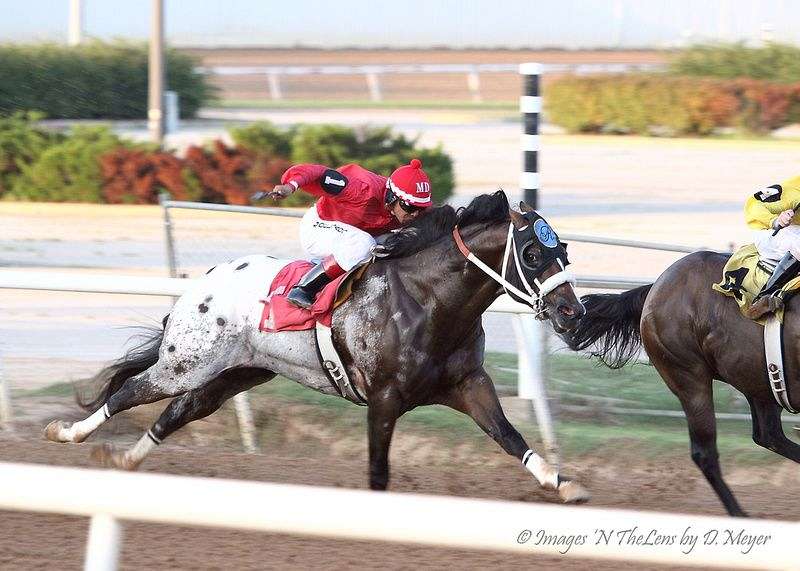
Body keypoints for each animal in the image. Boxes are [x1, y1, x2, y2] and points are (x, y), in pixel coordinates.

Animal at [45, 191, 590, 503]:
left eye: (563, 250)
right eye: (532, 252)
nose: (572, 312)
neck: (430, 299)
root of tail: (205, 280)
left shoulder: (467, 383)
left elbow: (509, 435)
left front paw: (561, 483)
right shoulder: (385, 398)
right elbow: (378, 469)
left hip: (234, 373)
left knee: (178, 412)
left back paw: (126, 461)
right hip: (187, 362)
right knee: (131, 390)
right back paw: (68, 433)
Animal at [564, 249, 800, 516]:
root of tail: (655, 288)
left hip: (756, 378)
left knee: (769, 436)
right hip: (689, 378)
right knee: (705, 453)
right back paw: (739, 514)